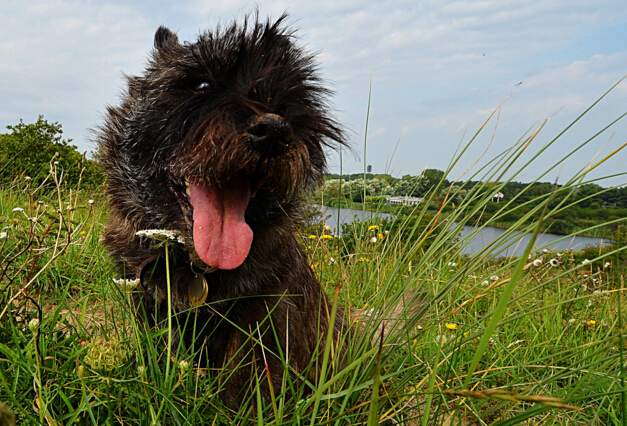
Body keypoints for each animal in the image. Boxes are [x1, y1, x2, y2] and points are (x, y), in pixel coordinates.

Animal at [97, 13, 350, 407]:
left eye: (286, 99)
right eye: (200, 83)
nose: (273, 131)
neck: (197, 266)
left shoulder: (263, 317)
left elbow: (244, 386)